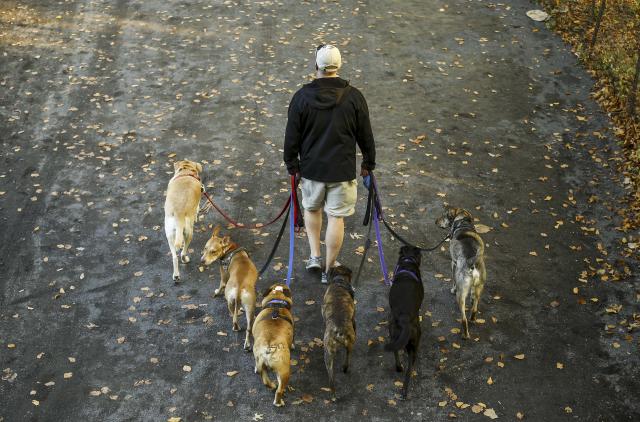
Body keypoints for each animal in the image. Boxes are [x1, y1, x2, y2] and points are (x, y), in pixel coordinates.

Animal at [322, 266, 358, 400]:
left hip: (328, 355)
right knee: (348, 357)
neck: (339, 281)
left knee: (331, 379)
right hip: (349, 344)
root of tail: (339, 330)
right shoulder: (354, 319)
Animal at [384, 244, 424, 398]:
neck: (408, 261)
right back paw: (405, 391)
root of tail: (404, 318)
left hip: (393, 332)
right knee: (410, 368)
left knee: (395, 351)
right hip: (414, 342)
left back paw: (398, 367)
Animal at [438, 206, 488, 338]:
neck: (463, 223)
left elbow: (453, 280)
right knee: (474, 308)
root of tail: (472, 263)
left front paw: (452, 289)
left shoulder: (453, 263)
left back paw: (465, 334)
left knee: (463, 318)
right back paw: (473, 319)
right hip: (479, 286)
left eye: (443, 215)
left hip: (461, 295)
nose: (435, 222)